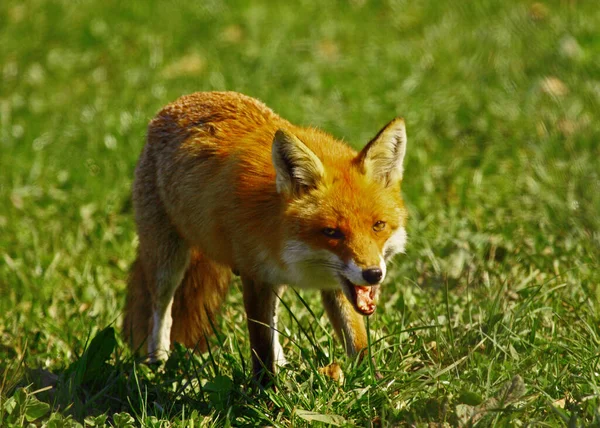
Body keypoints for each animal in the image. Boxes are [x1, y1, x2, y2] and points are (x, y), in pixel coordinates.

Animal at [124, 90, 410, 384]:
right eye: (332, 232)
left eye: (378, 226)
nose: (373, 274)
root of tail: (183, 99)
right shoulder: (256, 276)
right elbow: (260, 345)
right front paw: (264, 390)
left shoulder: (335, 284)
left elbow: (356, 338)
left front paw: (372, 381)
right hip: (166, 262)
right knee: (161, 312)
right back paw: (157, 362)